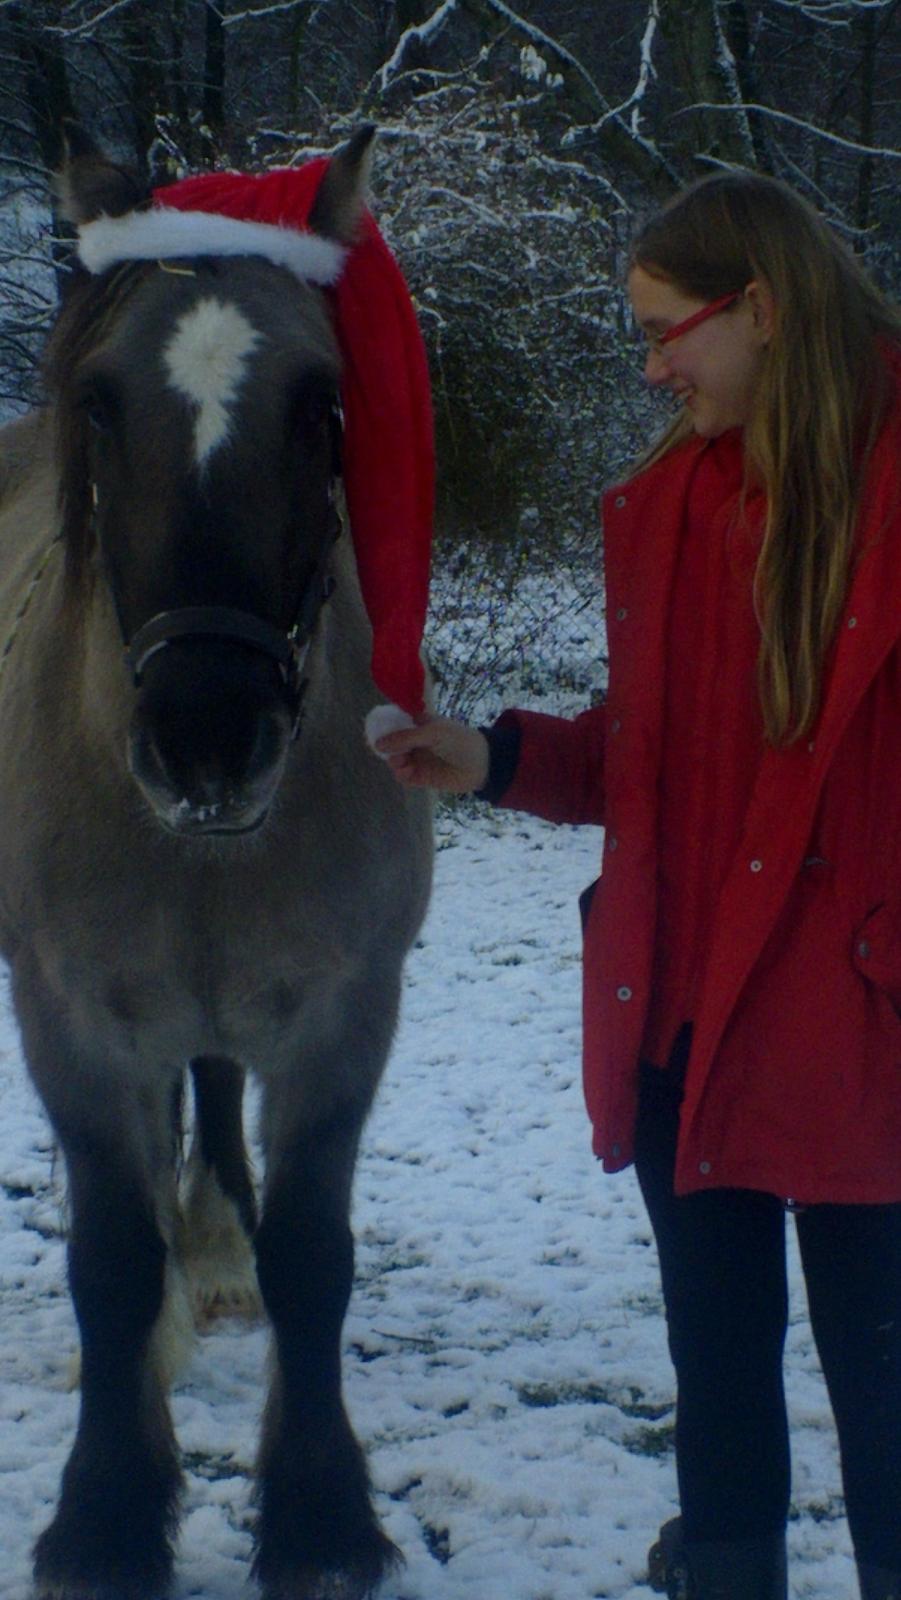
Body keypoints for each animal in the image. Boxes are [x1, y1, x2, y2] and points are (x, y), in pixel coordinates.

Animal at [0, 128, 432, 1600]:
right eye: (98, 402)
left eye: (318, 403)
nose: (205, 732)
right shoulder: (72, 1024)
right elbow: (111, 1263)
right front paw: (106, 1515)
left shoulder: (347, 1018)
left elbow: (313, 1256)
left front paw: (318, 1515)